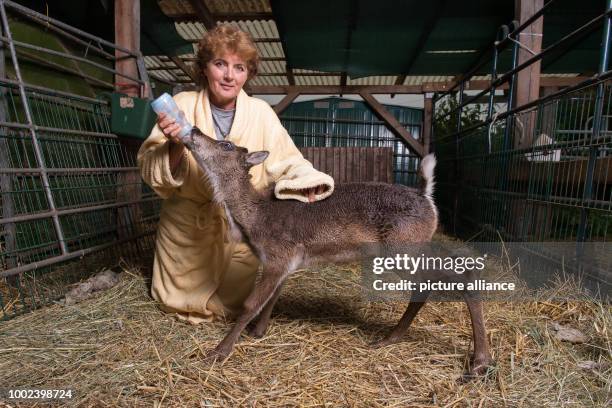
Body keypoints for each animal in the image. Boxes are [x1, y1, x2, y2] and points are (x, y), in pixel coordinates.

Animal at [177, 126, 492, 376]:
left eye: (226, 144)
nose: (194, 130)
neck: (254, 220)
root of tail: (427, 199)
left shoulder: (278, 254)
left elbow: (250, 304)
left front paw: (219, 352)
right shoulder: (287, 262)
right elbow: (271, 299)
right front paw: (257, 332)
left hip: (404, 246)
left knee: (461, 274)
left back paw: (479, 362)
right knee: (426, 285)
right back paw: (389, 339)